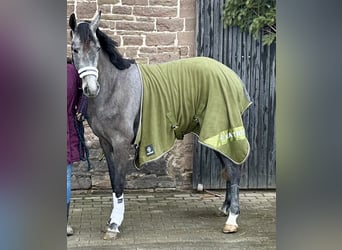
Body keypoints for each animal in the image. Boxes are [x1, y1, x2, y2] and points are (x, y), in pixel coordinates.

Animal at [69, 11, 251, 240]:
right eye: (75, 49)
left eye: (97, 49)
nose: (91, 89)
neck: (114, 87)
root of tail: (233, 77)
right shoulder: (105, 143)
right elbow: (112, 180)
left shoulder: (120, 143)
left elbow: (119, 182)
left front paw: (114, 225)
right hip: (213, 133)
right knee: (229, 166)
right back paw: (225, 209)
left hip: (221, 128)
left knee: (233, 170)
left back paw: (232, 220)